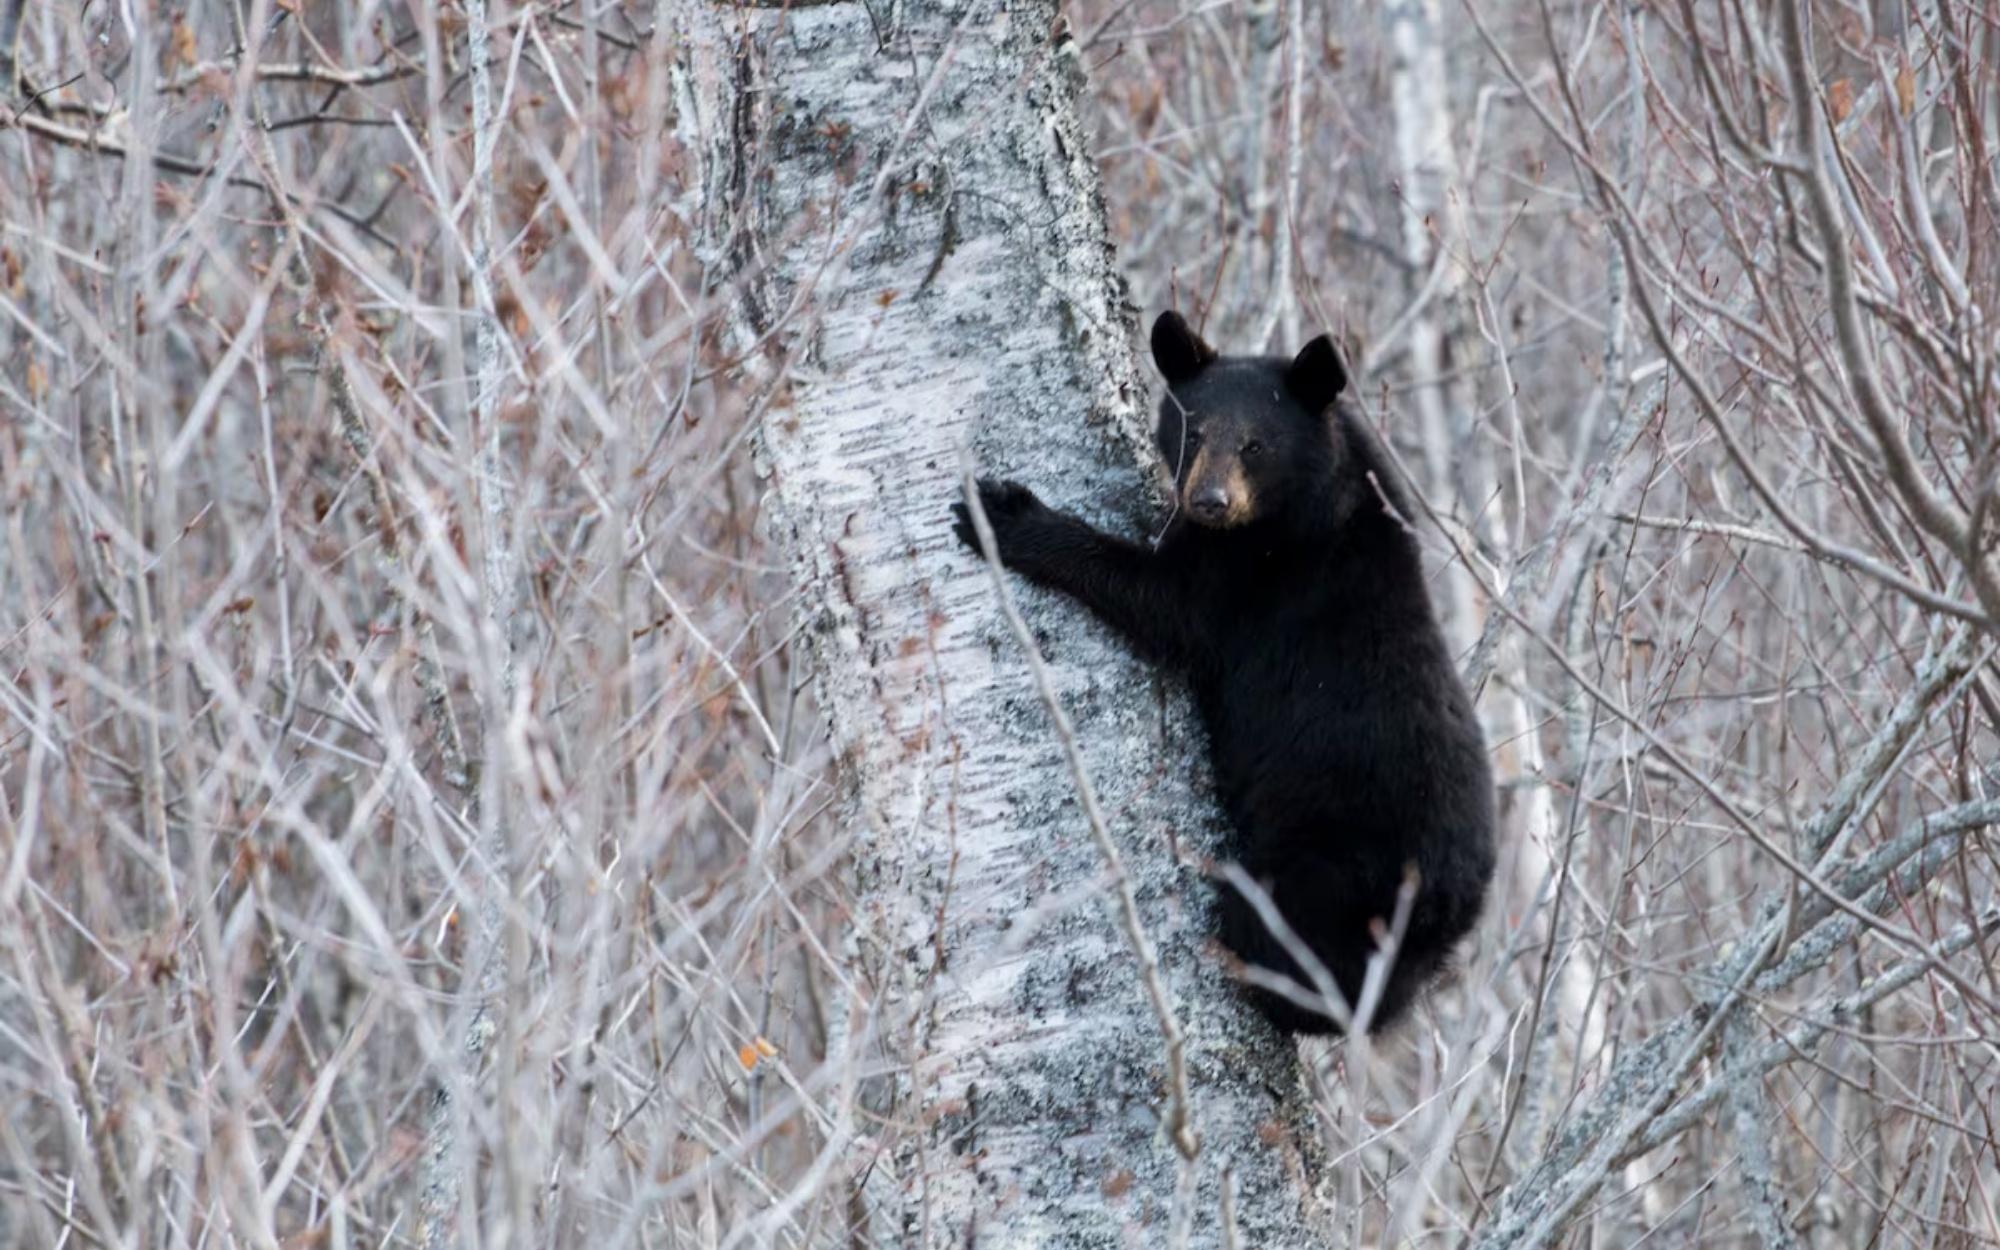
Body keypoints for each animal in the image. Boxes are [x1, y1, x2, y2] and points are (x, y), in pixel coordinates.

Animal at [950, 310, 1496, 1035]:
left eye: (1256, 445)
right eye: (1195, 431)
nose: (1208, 500)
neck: (1311, 503)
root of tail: (1453, 906)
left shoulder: (1253, 580)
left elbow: (1163, 604)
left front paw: (1005, 515)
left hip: (1328, 867)